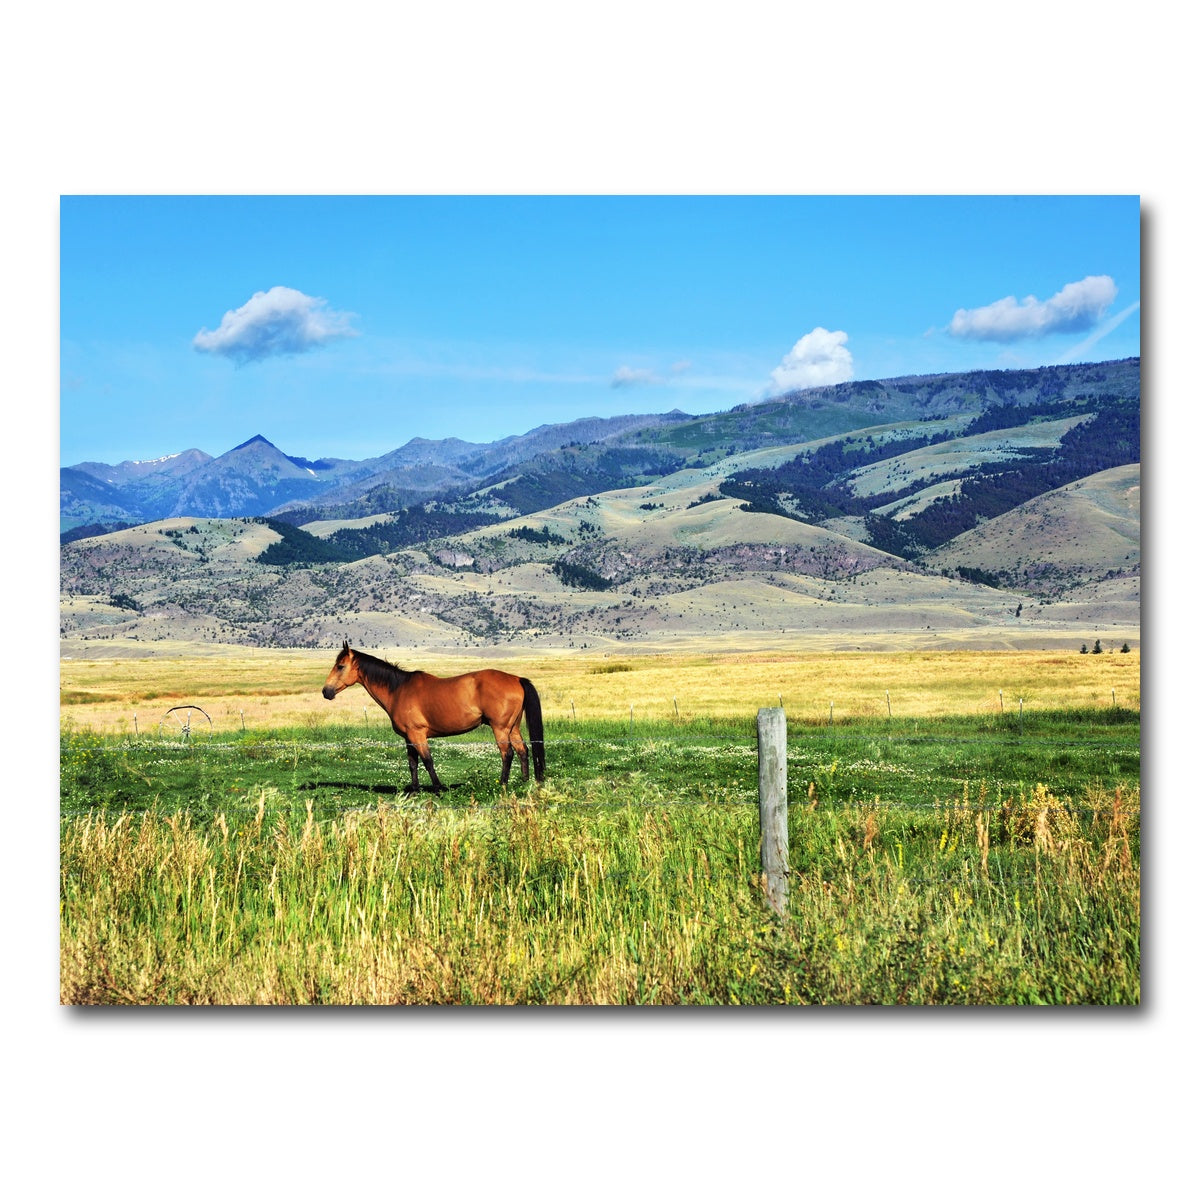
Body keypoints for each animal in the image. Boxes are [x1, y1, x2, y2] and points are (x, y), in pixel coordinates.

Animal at [321, 641, 545, 792]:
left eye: (340, 666)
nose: (326, 692)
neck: (399, 690)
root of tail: (516, 679)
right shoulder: (408, 738)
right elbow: (413, 763)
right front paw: (414, 791)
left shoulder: (418, 735)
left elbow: (428, 761)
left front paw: (438, 788)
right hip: (512, 727)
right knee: (523, 751)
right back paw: (524, 783)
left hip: (500, 728)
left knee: (508, 754)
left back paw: (503, 784)